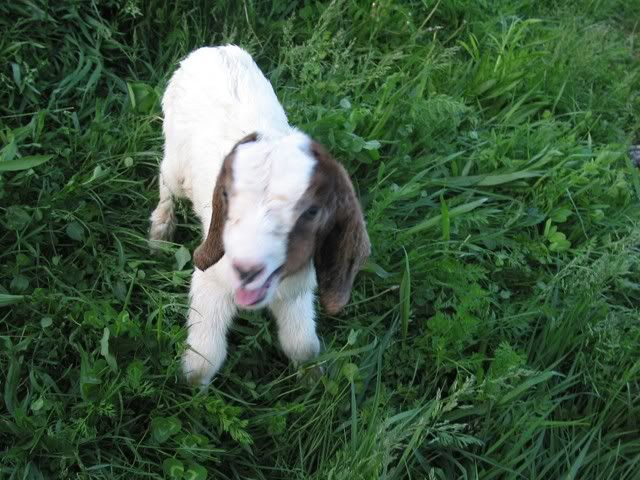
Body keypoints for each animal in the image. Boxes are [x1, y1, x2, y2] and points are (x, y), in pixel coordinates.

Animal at [150, 45, 370, 385]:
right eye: (231, 197)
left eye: (312, 211)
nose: (247, 269)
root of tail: (214, 49)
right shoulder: (211, 280)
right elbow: (206, 354)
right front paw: (189, 389)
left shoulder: (296, 291)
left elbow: (302, 343)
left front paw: (312, 377)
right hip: (175, 155)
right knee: (166, 184)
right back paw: (159, 235)